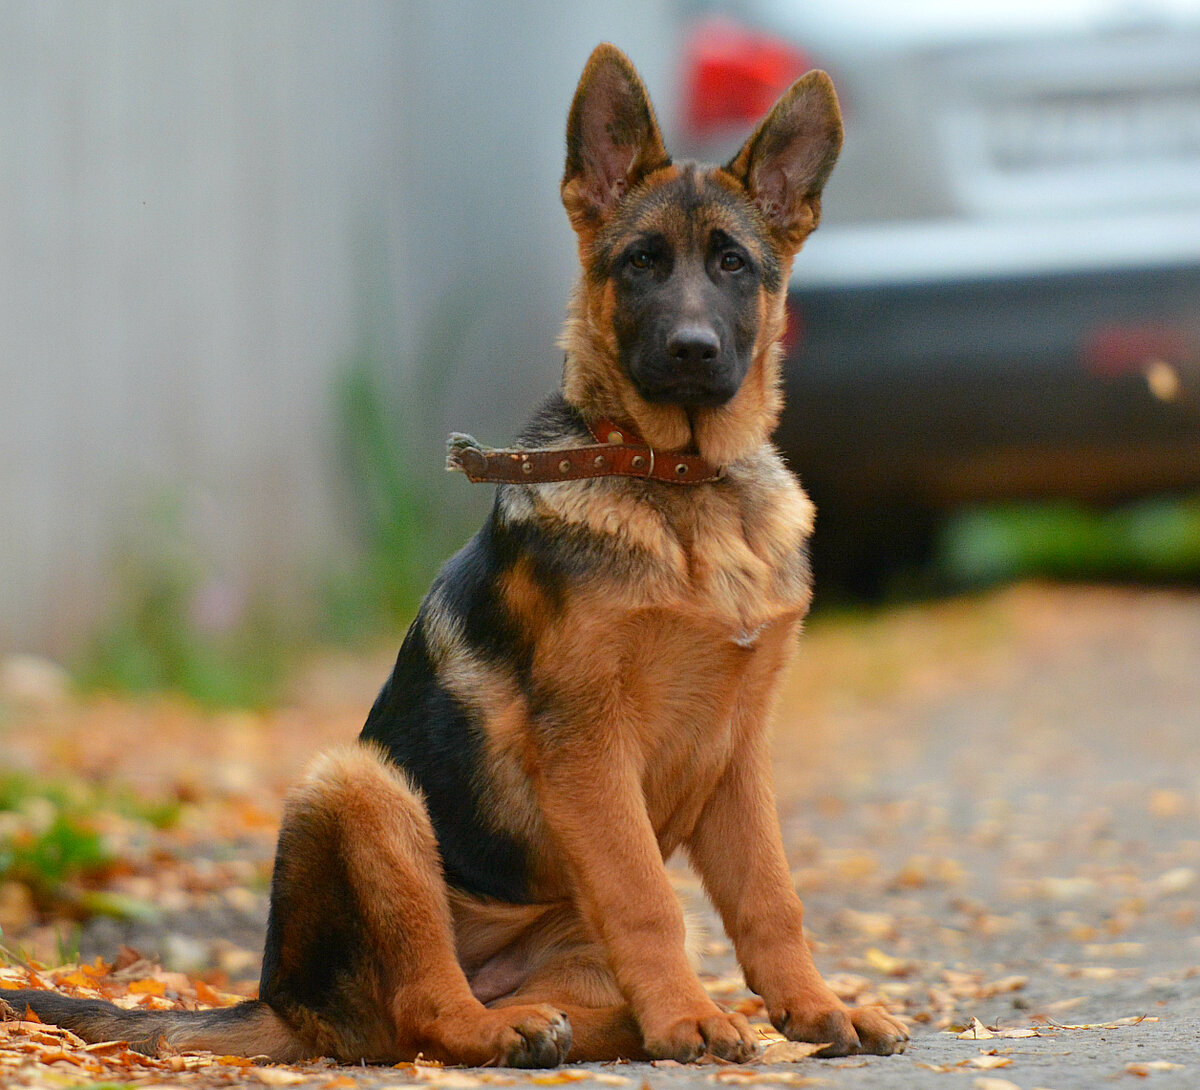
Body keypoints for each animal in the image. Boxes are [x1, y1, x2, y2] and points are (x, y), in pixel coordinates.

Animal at [9, 46, 902, 1070]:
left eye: (733, 264)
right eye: (640, 262)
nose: (691, 349)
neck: (679, 483)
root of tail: (283, 1000)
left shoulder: (738, 750)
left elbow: (770, 898)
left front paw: (815, 1007)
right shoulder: (588, 741)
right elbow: (648, 899)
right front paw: (691, 1020)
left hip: (560, 926)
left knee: (565, 1002)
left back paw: (577, 1022)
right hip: (361, 789)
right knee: (421, 1007)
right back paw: (512, 1027)